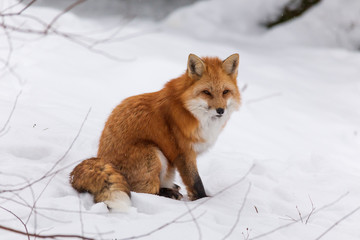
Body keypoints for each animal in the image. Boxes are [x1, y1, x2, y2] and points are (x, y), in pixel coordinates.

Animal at [69, 53, 240, 211]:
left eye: (225, 92)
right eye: (207, 92)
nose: (221, 110)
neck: (189, 110)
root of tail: (102, 159)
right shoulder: (183, 152)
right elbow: (196, 182)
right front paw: (204, 201)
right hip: (154, 154)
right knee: (143, 191)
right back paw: (168, 193)